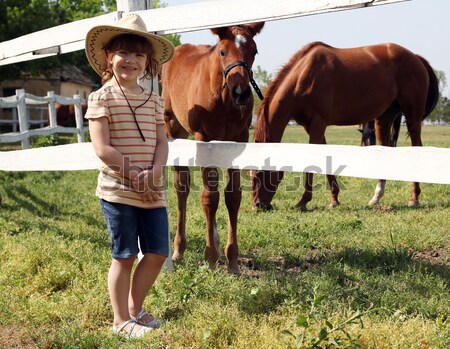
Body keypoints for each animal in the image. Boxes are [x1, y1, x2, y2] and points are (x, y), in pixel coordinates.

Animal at [162, 22, 264, 274]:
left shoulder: (238, 139)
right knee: (182, 187)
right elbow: (209, 197)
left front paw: (232, 260)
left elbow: (233, 196)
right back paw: (179, 249)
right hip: (175, 130)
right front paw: (209, 256)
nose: (241, 93)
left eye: (254, 51)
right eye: (222, 52)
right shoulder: (204, 138)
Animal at [251, 40, 438, 209]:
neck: (304, 77)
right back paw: (376, 198)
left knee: (417, 147)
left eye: (260, 173)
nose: (258, 205)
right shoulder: (312, 126)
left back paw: (414, 198)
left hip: (412, 117)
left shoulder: (318, 123)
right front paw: (334, 199)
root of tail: (415, 57)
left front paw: (303, 201)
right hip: (384, 119)